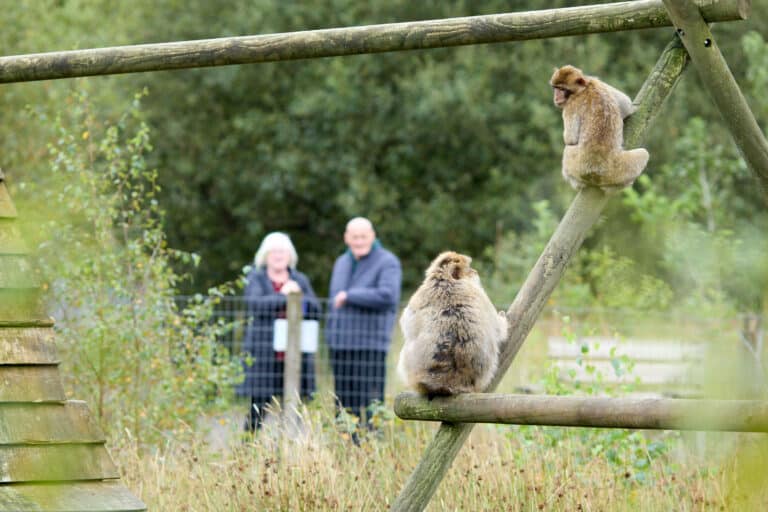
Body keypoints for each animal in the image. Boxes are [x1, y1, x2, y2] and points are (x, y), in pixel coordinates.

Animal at [396, 251, 508, 397]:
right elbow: (498, 329)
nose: (475, 271)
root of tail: (447, 382)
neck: (446, 280)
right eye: (469, 269)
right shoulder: (480, 295)